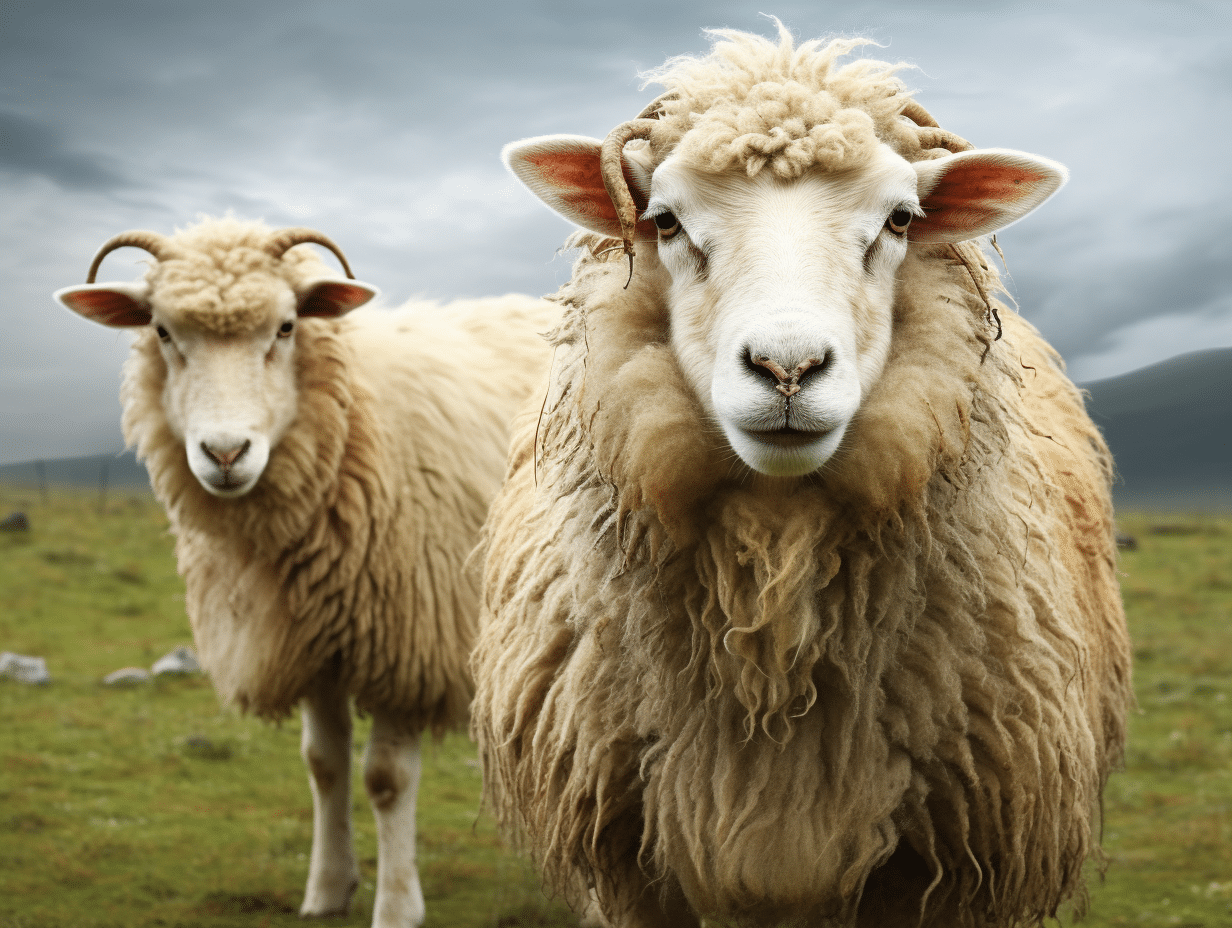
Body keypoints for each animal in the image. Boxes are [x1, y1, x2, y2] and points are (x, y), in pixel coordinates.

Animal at [54, 216, 557, 928]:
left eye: (287, 327)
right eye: (162, 331)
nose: (225, 453)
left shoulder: (405, 637)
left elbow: (385, 779)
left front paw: (396, 905)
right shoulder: (313, 635)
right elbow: (323, 764)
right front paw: (327, 888)